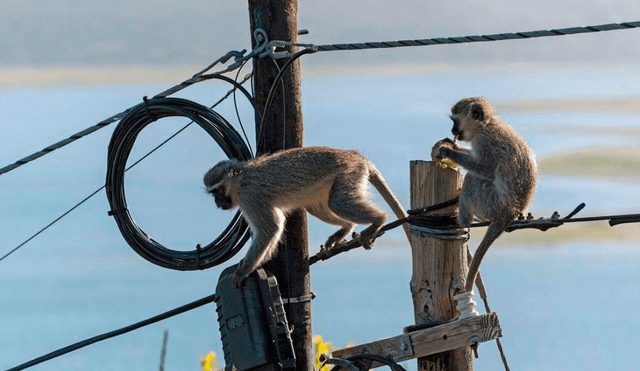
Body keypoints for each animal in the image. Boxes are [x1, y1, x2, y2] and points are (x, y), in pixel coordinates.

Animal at [204, 147, 410, 290]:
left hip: (350, 173)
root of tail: (356, 155)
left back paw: (379, 220)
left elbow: (270, 228)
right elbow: (275, 227)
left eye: (218, 190)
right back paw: (346, 228)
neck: (240, 181)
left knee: (338, 202)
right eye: (212, 193)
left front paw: (245, 269)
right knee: (319, 206)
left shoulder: (250, 197)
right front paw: (259, 261)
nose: (217, 202)